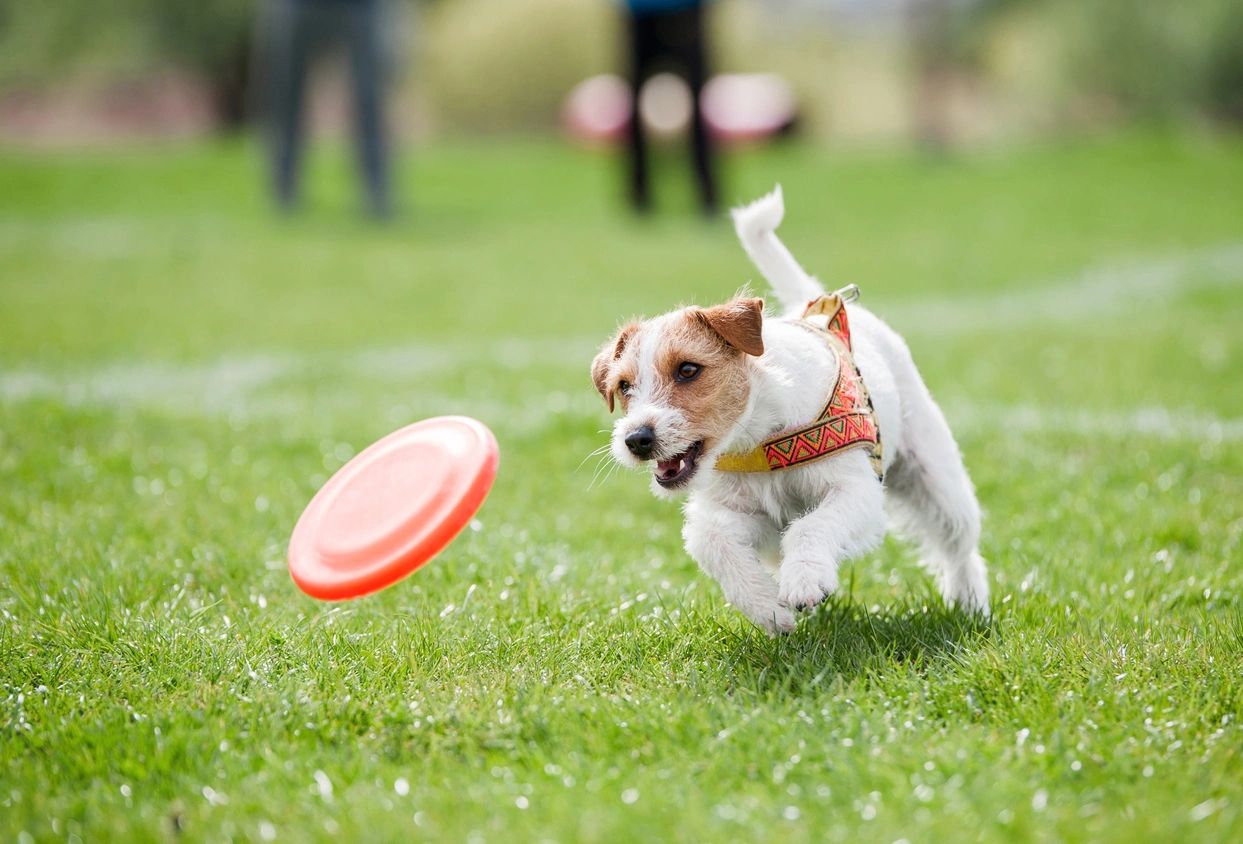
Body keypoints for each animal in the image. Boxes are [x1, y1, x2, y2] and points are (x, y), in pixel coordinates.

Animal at [591, 186, 989, 633]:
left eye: (688, 369)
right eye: (624, 386)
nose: (636, 439)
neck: (759, 438)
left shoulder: (856, 491)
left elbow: (811, 526)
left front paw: (805, 581)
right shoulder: (740, 513)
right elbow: (711, 541)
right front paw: (768, 607)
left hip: (937, 480)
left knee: (960, 546)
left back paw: (970, 603)